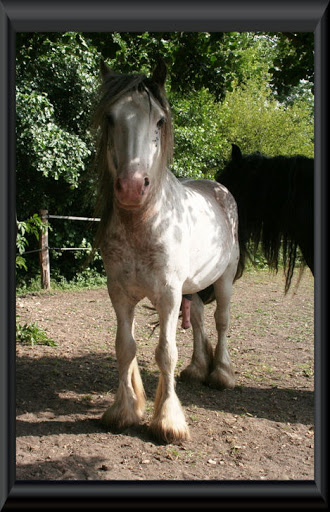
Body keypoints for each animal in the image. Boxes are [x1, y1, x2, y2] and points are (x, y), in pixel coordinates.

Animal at [93, 61, 240, 444]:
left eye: (159, 121)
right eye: (110, 117)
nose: (132, 187)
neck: (142, 224)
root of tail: (218, 188)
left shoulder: (168, 295)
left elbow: (165, 353)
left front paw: (168, 421)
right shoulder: (119, 293)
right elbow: (125, 348)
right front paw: (124, 411)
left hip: (224, 278)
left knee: (221, 321)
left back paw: (221, 374)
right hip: (194, 285)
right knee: (200, 317)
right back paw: (198, 369)